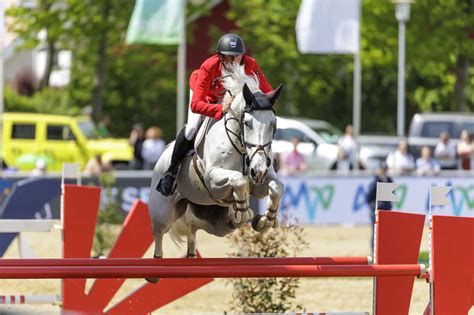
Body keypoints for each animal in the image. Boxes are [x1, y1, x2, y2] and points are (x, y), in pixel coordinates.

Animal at [148, 64, 284, 262]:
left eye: (273, 124)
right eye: (247, 123)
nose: (258, 170)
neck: (242, 148)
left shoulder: (259, 182)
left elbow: (276, 187)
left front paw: (264, 220)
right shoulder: (212, 178)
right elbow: (239, 180)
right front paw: (244, 213)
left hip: (211, 221)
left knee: (192, 231)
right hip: (162, 214)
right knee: (159, 236)